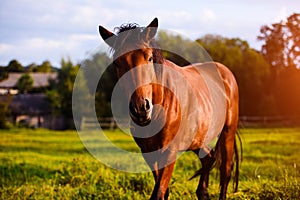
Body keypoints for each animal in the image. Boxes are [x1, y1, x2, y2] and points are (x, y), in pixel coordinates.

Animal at [99, 18, 240, 199]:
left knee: (225, 172)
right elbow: (163, 191)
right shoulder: (148, 152)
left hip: (228, 133)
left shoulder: (169, 151)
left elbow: (159, 193)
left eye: (149, 58)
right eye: (117, 63)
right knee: (209, 158)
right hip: (197, 139)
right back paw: (202, 192)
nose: (141, 109)